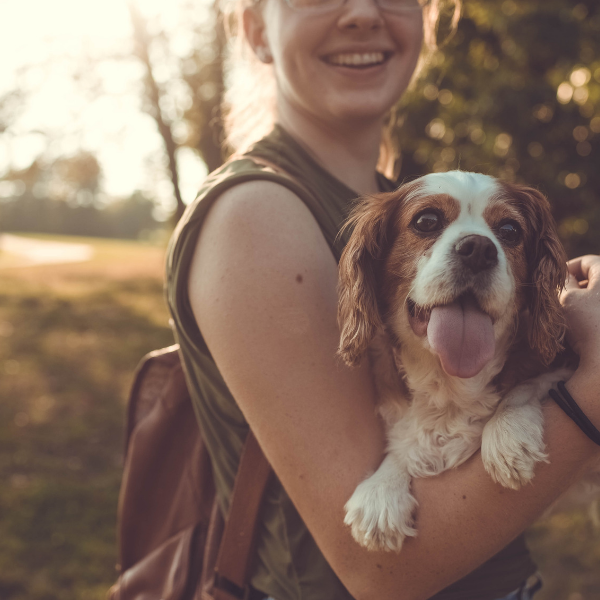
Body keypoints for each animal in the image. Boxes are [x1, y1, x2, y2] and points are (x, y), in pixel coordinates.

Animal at [338, 171, 576, 552]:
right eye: (426, 221)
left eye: (510, 230)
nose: (478, 249)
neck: (450, 383)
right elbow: (406, 441)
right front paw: (381, 489)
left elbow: (528, 384)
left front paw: (507, 433)